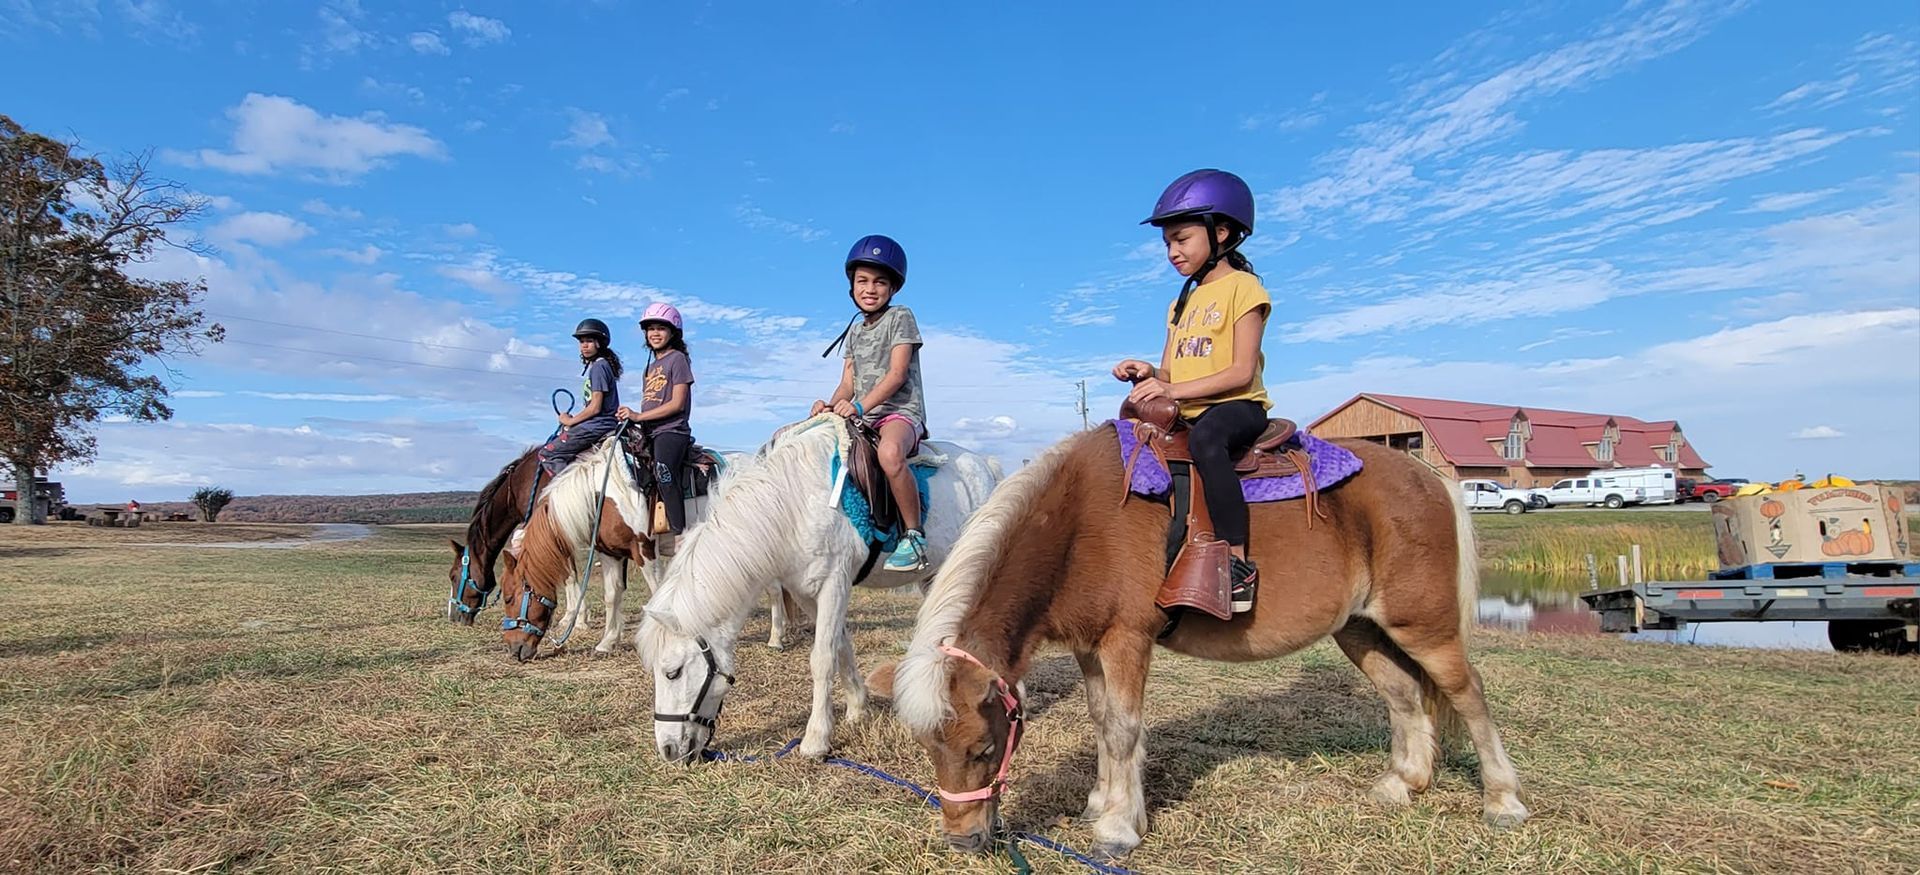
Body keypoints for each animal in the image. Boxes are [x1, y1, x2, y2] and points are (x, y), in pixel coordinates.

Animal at [495, 433, 793, 661]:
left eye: (508, 598)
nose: (515, 650)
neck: (603, 495)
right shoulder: (610, 554)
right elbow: (612, 595)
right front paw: (607, 642)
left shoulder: (644, 550)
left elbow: (655, 595)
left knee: (774, 589)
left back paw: (776, 638)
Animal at [635, 414, 1003, 763]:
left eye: (672, 673)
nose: (668, 750)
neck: (793, 506)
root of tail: (984, 464)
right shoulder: (806, 591)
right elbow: (841, 645)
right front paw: (857, 709)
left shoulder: (834, 584)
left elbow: (822, 658)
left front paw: (816, 739)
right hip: (935, 575)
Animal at [868, 425, 1529, 860]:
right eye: (928, 751)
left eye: (984, 749)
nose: (963, 842)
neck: (1079, 522)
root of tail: (1430, 477)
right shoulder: (1091, 647)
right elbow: (1102, 719)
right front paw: (1104, 801)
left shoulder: (1127, 641)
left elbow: (1123, 729)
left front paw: (1118, 829)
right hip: (1360, 629)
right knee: (1404, 695)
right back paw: (1405, 783)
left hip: (1425, 626)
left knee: (1467, 693)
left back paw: (1502, 800)